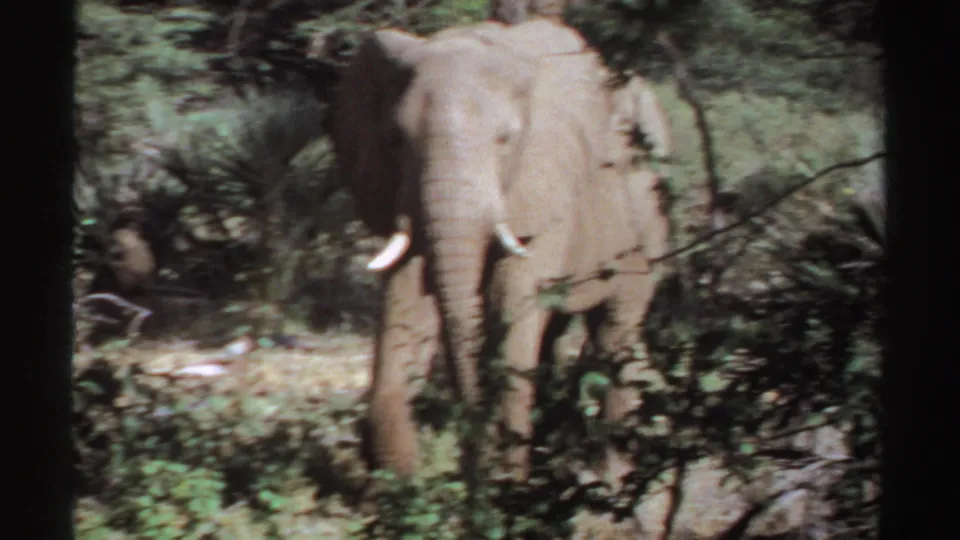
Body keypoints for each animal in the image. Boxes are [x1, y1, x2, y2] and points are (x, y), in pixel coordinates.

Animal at [330, 19, 671, 484]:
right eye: (395, 140)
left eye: (506, 139)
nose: (467, 454)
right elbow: (407, 303)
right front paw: (401, 486)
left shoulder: (544, 186)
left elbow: (511, 302)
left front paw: (506, 485)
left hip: (647, 221)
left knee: (614, 332)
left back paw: (610, 477)